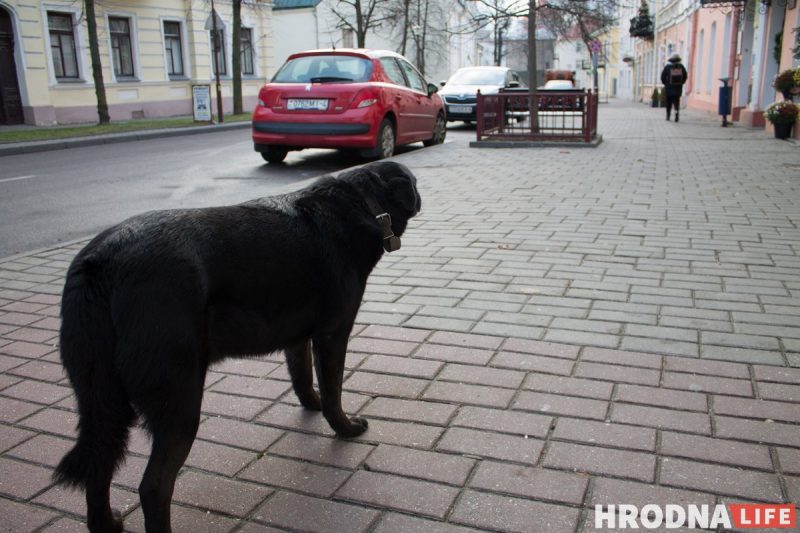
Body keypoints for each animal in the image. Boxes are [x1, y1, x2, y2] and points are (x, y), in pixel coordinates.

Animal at [53, 160, 422, 528]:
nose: (420, 197)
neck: (361, 203)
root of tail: (102, 261)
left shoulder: (298, 337)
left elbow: (302, 378)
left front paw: (312, 404)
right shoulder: (333, 334)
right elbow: (333, 392)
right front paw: (346, 427)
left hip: (102, 399)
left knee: (99, 465)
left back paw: (106, 523)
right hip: (179, 399)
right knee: (153, 486)